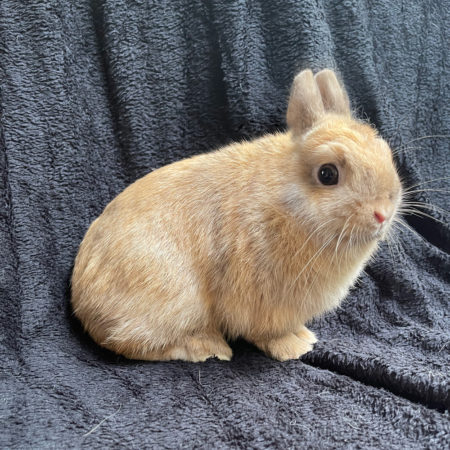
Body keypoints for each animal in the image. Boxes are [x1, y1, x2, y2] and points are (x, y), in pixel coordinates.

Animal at [71, 69, 403, 362]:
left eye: (385, 152)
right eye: (327, 174)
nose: (382, 213)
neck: (286, 205)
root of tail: (82, 303)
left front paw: (304, 337)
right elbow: (267, 334)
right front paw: (295, 348)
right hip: (174, 300)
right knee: (134, 343)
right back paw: (206, 348)